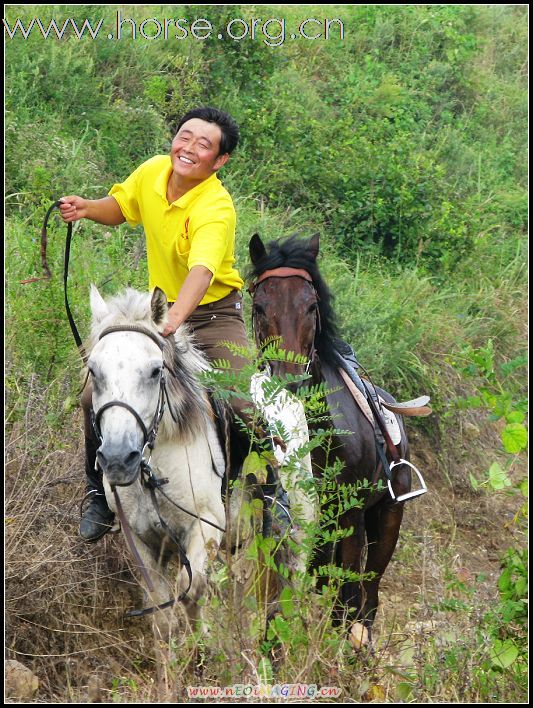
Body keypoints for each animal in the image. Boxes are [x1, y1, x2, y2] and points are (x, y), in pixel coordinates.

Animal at [88, 284, 229, 640]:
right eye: (94, 371)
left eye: (155, 371)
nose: (118, 459)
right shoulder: (140, 541)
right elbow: (161, 608)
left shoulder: (207, 525)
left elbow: (191, 590)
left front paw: (200, 643)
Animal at [248, 235, 412, 644]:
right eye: (259, 307)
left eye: (311, 305)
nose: (289, 380)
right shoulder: (279, 516)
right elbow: (276, 600)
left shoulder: (348, 516)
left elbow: (348, 597)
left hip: (387, 517)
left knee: (368, 594)